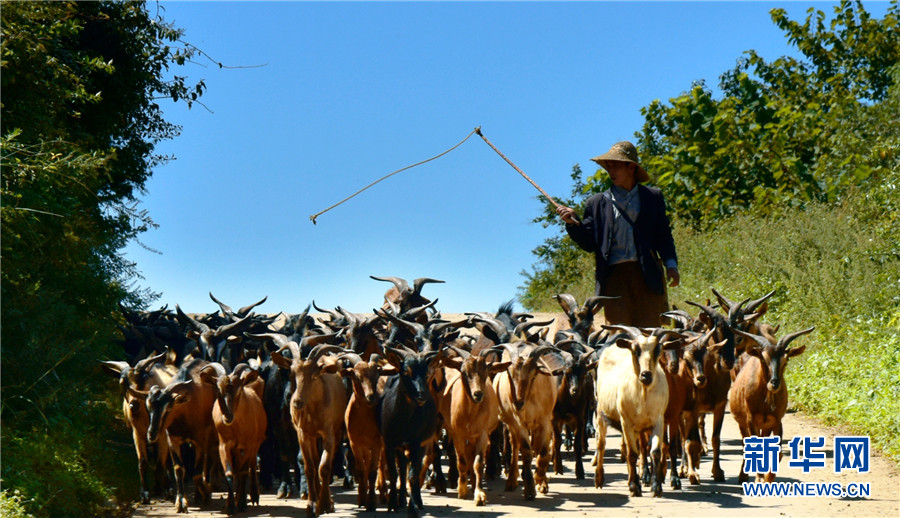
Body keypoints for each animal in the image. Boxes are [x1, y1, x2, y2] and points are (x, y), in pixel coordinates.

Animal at [730, 327, 814, 483]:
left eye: (786, 359)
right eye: (763, 359)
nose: (774, 383)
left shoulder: (776, 420)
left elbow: (778, 452)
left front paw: (769, 478)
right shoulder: (751, 420)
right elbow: (755, 448)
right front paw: (759, 479)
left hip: (765, 426)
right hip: (742, 423)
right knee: (746, 444)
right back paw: (743, 476)